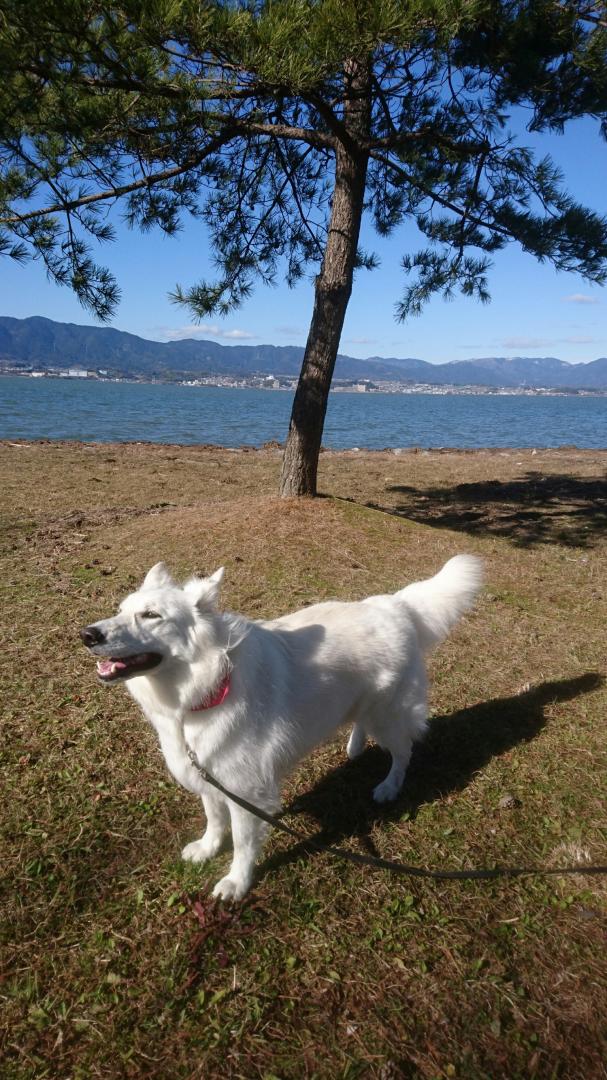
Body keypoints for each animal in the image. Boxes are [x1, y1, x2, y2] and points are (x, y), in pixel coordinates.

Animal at [80, 552, 479, 898]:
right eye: (120, 611)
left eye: (151, 615)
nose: (88, 635)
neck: (208, 686)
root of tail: (395, 605)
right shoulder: (209, 773)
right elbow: (213, 818)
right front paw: (208, 848)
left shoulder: (245, 791)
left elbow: (242, 843)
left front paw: (237, 883)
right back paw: (353, 749)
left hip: (388, 715)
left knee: (404, 751)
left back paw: (389, 786)